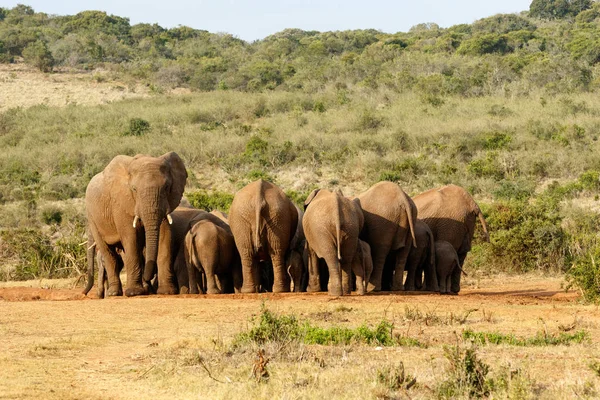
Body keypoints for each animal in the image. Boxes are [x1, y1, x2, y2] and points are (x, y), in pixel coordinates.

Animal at [82, 153, 185, 296]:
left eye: (166, 187)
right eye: (134, 189)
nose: (83, 293)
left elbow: (165, 236)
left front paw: (167, 292)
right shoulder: (121, 203)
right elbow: (131, 237)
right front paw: (134, 292)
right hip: (92, 217)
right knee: (107, 252)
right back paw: (114, 293)